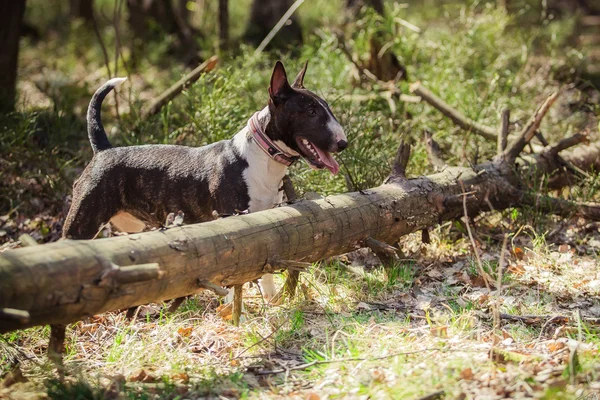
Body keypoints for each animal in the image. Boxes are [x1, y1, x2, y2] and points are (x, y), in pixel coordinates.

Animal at [62, 61, 346, 300]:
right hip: (82, 222)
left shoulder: (270, 221)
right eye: (311, 111)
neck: (262, 157)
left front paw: (270, 300)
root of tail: (104, 150)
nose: (343, 143)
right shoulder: (232, 219)